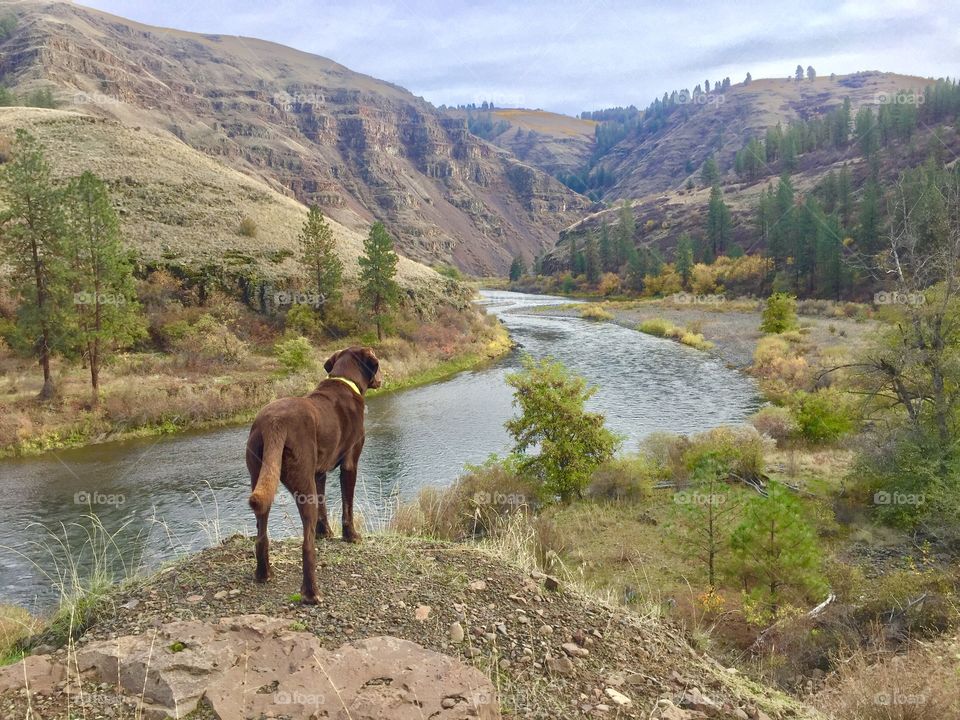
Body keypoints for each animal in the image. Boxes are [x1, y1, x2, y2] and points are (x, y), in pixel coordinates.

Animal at [244, 346, 382, 604]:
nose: (382, 378)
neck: (345, 380)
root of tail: (273, 424)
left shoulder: (319, 473)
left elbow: (323, 507)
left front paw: (325, 533)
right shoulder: (350, 463)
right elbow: (347, 505)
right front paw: (351, 536)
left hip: (259, 478)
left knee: (261, 534)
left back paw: (264, 574)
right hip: (303, 485)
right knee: (306, 545)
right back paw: (312, 593)